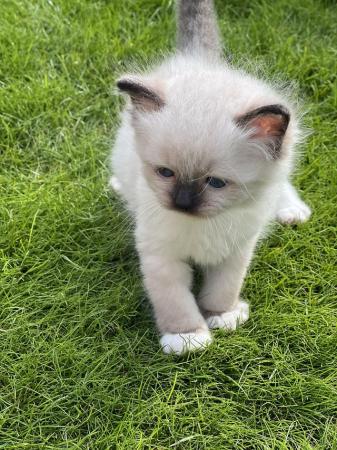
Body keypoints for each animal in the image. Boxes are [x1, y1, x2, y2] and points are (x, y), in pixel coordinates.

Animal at [109, 0, 310, 354]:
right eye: (165, 173)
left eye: (216, 183)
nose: (182, 202)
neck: (204, 227)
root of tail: (200, 61)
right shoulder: (162, 256)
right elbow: (176, 302)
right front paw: (187, 338)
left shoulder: (236, 251)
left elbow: (223, 289)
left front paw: (222, 316)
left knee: (283, 181)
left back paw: (292, 212)